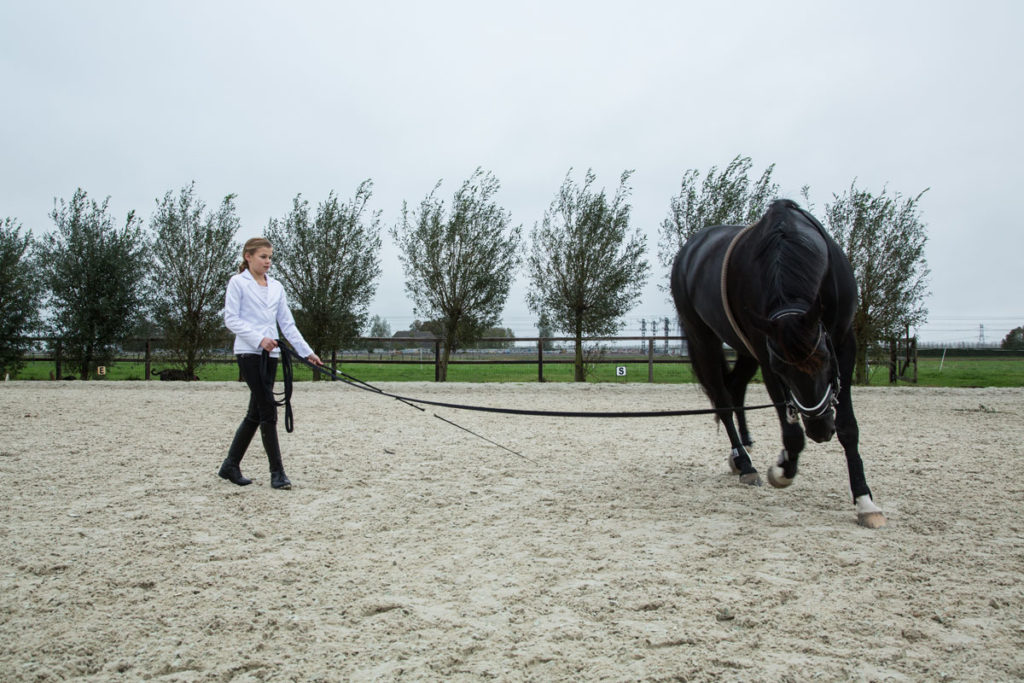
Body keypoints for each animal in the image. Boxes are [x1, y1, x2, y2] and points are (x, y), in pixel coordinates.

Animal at [675, 197, 884, 528]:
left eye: (826, 360)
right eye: (783, 370)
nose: (820, 430)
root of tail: (691, 249)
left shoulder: (843, 343)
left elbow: (848, 427)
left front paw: (865, 502)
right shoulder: (766, 354)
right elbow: (792, 434)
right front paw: (783, 468)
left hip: (743, 349)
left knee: (735, 388)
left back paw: (742, 453)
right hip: (703, 340)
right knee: (723, 400)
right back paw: (746, 465)